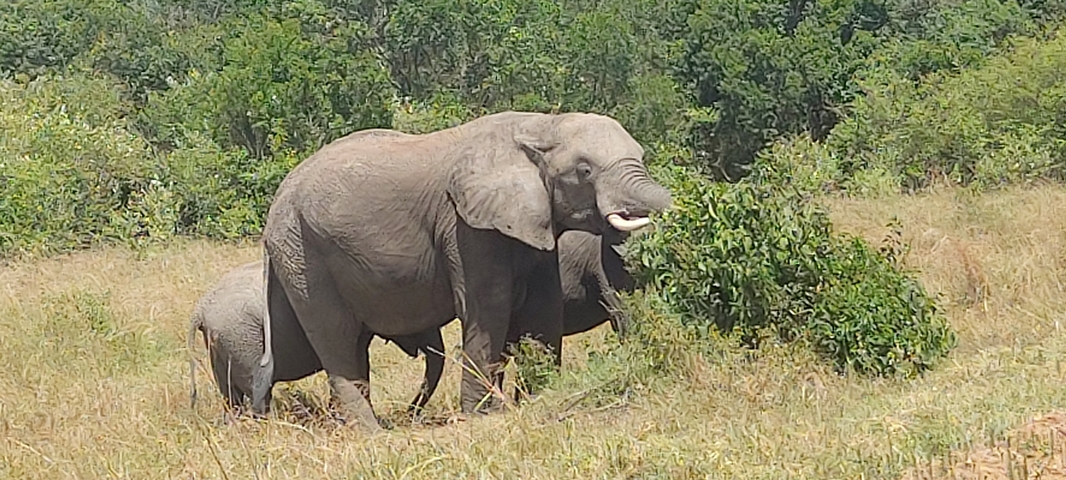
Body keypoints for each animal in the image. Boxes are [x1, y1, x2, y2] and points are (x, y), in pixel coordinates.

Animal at [187, 261, 444, 416]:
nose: (407, 412)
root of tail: (201, 308)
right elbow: (358, 360)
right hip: (243, 337)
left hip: (222, 343)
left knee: (230, 395)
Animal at [251, 111, 672, 430]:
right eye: (585, 170)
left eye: (642, 156)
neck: (540, 125)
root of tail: (277, 202)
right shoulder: (465, 227)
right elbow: (489, 309)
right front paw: (483, 416)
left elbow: (543, 310)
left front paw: (537, 400)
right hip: (303, 253)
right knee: (334, 337)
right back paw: (369, 432)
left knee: (324, 345)